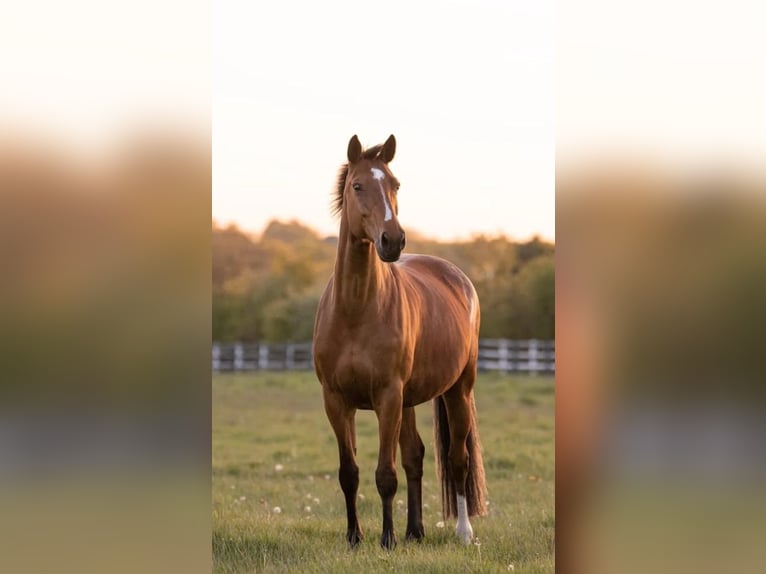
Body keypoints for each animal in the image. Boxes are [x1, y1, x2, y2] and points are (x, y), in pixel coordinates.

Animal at [313, 134, 487, 549]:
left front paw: (387, 539)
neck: (355, 311)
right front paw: (355, 537)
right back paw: (415, 531)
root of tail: (458, 278)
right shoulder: (336, 401)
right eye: (357, 186)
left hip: (457, 390)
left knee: (457, 459)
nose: (392, 240)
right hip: (409, 399)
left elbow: (385, 474)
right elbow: (350, 472)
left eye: (395, 185)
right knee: (415, 455)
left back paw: (462, 532)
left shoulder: (387, 397)